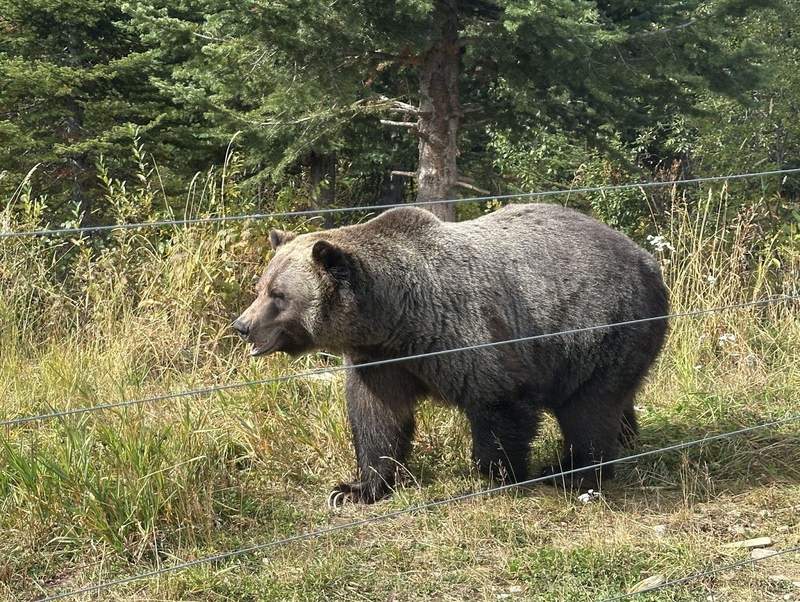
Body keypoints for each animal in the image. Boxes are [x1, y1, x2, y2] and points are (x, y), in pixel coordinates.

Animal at [233, 203, 669, 505]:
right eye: (261, 286)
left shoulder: (468, 337)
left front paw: (498, 474)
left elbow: (500, 404)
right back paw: (625, 437)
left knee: (588, 410)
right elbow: (378, 418)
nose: (242, 325)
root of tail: (647, 260)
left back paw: (570, 471)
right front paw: (355, 488)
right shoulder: (380, 362)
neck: (397, 319)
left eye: (279, 295)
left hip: (601, 328)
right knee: (613, 400)